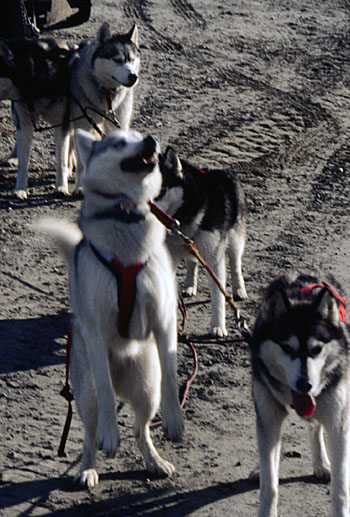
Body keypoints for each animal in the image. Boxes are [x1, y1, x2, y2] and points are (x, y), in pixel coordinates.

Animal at [34, 130, 185, 488]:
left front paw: (174, 420)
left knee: (141, 428)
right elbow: (104, 394)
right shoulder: (95, 332)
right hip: (85, 394)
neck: (126, 213)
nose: (151, 140)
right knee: (91, 430)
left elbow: (172, 376)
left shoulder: (164, 321)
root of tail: (124, 380)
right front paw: (110, 435)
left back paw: (155, 461)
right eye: (118, 142)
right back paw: (88, 467)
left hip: (147, 389)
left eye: (139, 134)